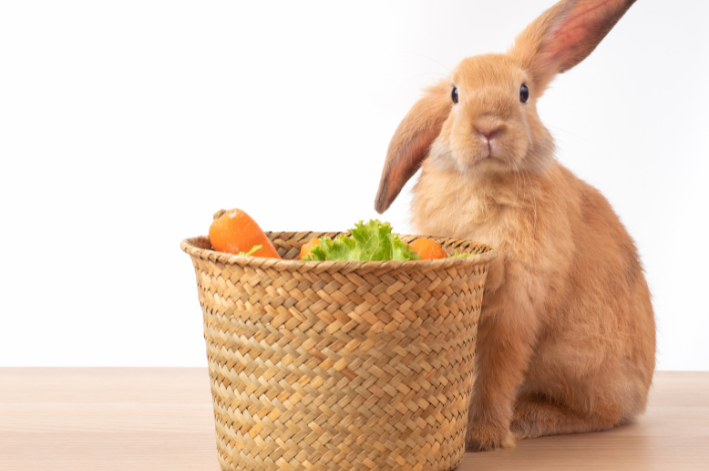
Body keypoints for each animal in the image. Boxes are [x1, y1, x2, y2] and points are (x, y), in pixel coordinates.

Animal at [374, 0, 656, 454]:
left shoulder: (516, 305)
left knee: (601, 413)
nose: (488, 127)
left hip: (578, 360)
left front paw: (482, 437)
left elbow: (497, 372)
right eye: (455, 94)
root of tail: (642, 393)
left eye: (522, 93)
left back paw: (526, 419)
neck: (484, 181)